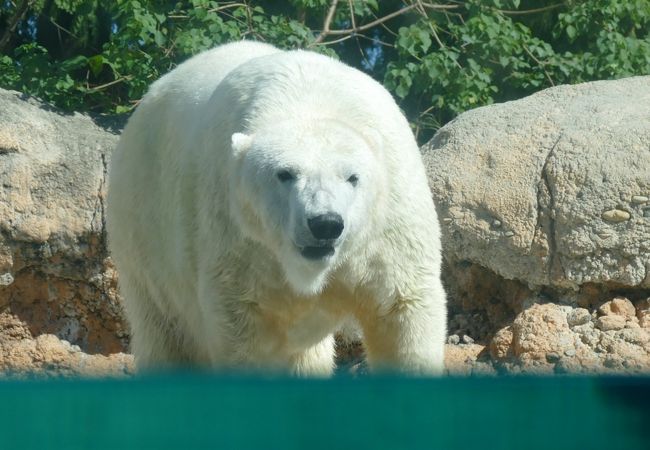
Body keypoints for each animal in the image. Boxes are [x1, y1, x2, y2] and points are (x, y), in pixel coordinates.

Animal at [106, 40, 446, 376]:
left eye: (352, 177)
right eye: (285, 174)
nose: (325, 223)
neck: (307, 98)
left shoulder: (388, 224)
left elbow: (403, 308)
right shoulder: (238, 237)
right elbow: (245, 330)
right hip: (143, 233)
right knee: (166, 333)